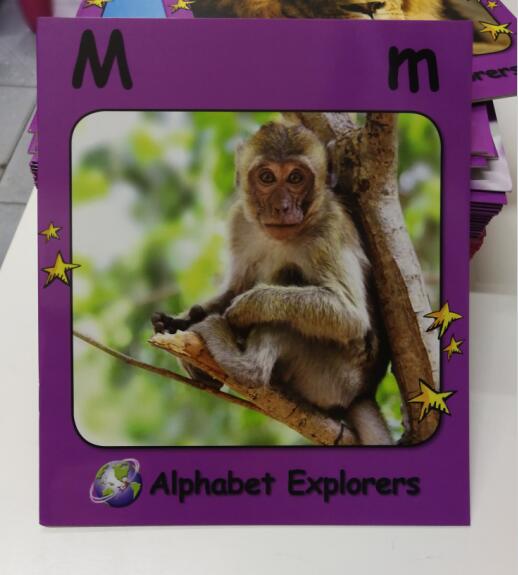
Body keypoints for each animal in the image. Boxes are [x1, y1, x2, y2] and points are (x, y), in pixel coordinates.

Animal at [152, 122, 393, 446]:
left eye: (295, 177)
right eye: (266, 177)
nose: (281, 206)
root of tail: (363, 393)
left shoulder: (329, 229)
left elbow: (350, 317)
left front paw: (245, 308)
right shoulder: (239, 222)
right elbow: (235, 286)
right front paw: (179, 320)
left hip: (333, 376)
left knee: (285, 306)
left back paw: (241, 361)